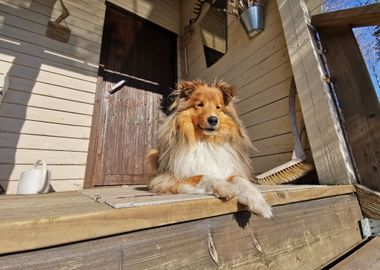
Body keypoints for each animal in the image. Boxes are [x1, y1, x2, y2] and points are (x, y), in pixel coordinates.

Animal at [146, 80, 274, 219]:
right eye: (199, 104)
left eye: (218, 107)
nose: (213, 120)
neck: (206, 142)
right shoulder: (169, 177)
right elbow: (205, 176)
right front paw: (226, 187)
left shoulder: (227, 170)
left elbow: (242, 181)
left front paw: (261, 205)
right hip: (152, 154)